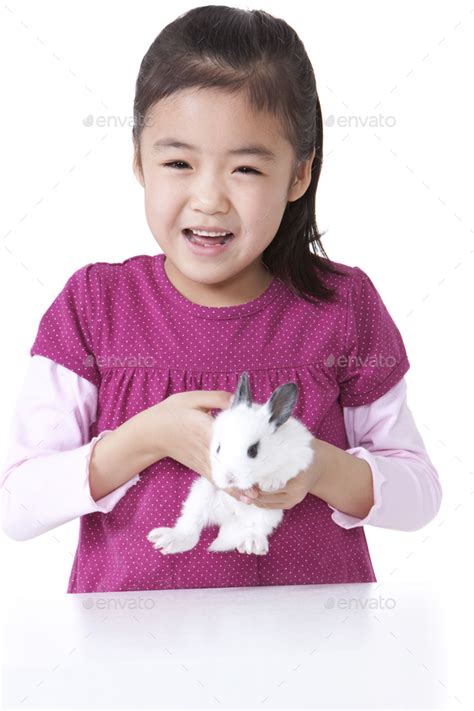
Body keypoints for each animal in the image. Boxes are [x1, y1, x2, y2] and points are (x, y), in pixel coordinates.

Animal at [146, 372, 312, 556]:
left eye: (254, 450)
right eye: (218, 448)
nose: (229, 478)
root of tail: (229, 517)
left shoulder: (301, 454)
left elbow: (285, 469)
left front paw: (270, 483)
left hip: (266, 514)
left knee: (255, 528)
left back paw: (252, 544)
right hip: (200, 496)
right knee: (191, 528)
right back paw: (171, 540)